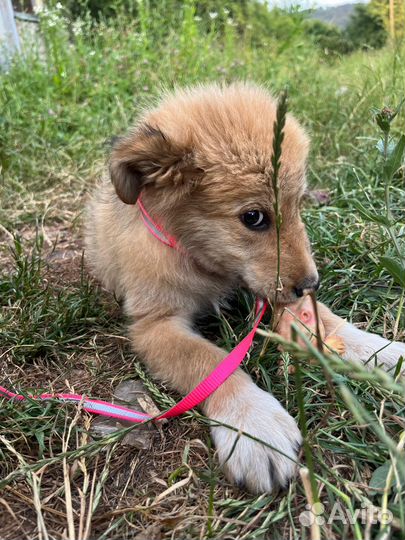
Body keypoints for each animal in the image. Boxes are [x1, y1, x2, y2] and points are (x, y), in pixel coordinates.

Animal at [84, 83, 400, 494]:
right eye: (253, 217)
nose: (311, 284)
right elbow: (209, 361)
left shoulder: (268, 285)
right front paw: (252, 424)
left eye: (298, 205)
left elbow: (322, 319)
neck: (201, 261)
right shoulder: (154, 324)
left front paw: (379, 350)